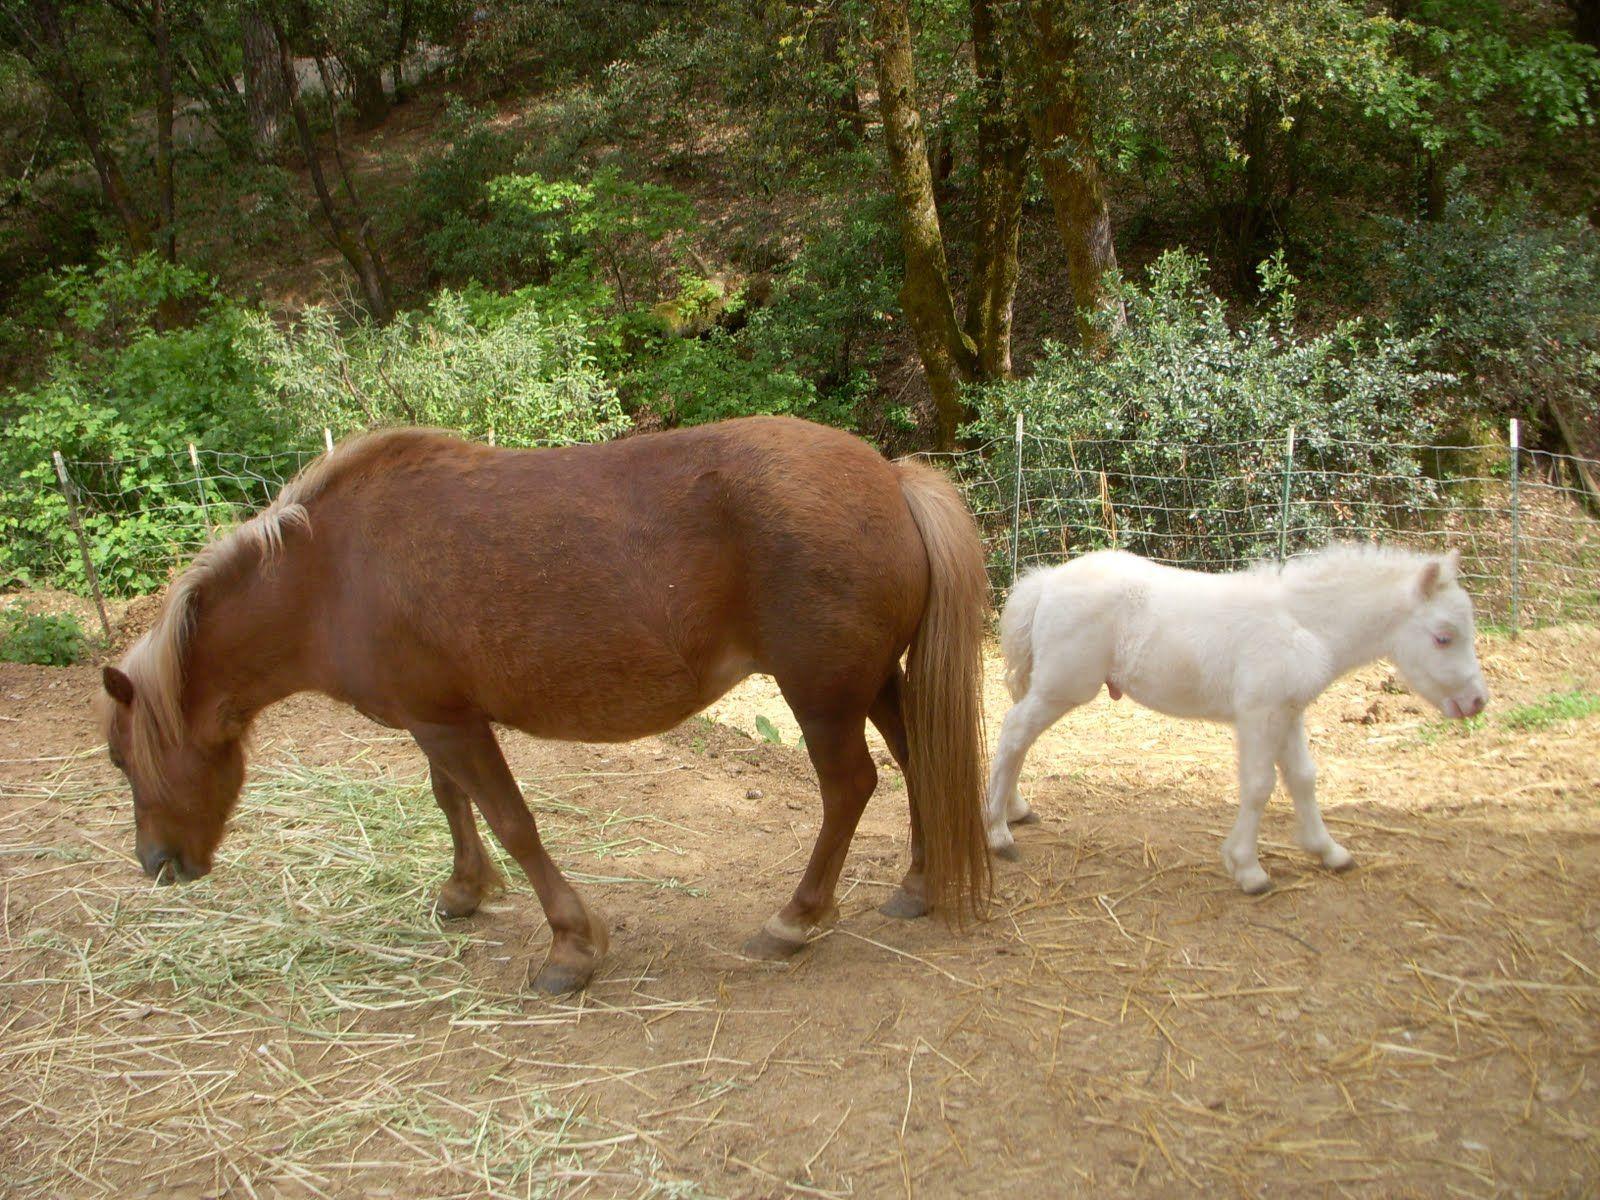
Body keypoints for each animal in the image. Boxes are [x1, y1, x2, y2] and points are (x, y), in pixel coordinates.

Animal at [97, 417, 991, 993]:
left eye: (122, 758)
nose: (155, 863)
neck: (333, 573)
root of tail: (892, 477)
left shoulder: (450, 724)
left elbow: (511, 820)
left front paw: (571, 947)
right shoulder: (436, 719)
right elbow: (453, 801)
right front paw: (464, 892)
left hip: (823, 696)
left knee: (850, 789)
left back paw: (796, 920)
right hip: (873, 682)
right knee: (917, 760)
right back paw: (917, 885)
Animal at [985, 545, 1489, 892]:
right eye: (1444, 637)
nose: (1477, 701)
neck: (1304, 625)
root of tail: (1047, 580)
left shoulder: (1288, 713)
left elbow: (1303, 778)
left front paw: (1329, 851)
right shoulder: (1259, 715)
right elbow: (1259, 786)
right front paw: (1248, 869)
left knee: (1020, 739)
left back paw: (1015, 810)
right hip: (1064, 687)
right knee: (1013, 733)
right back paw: (998, 833)